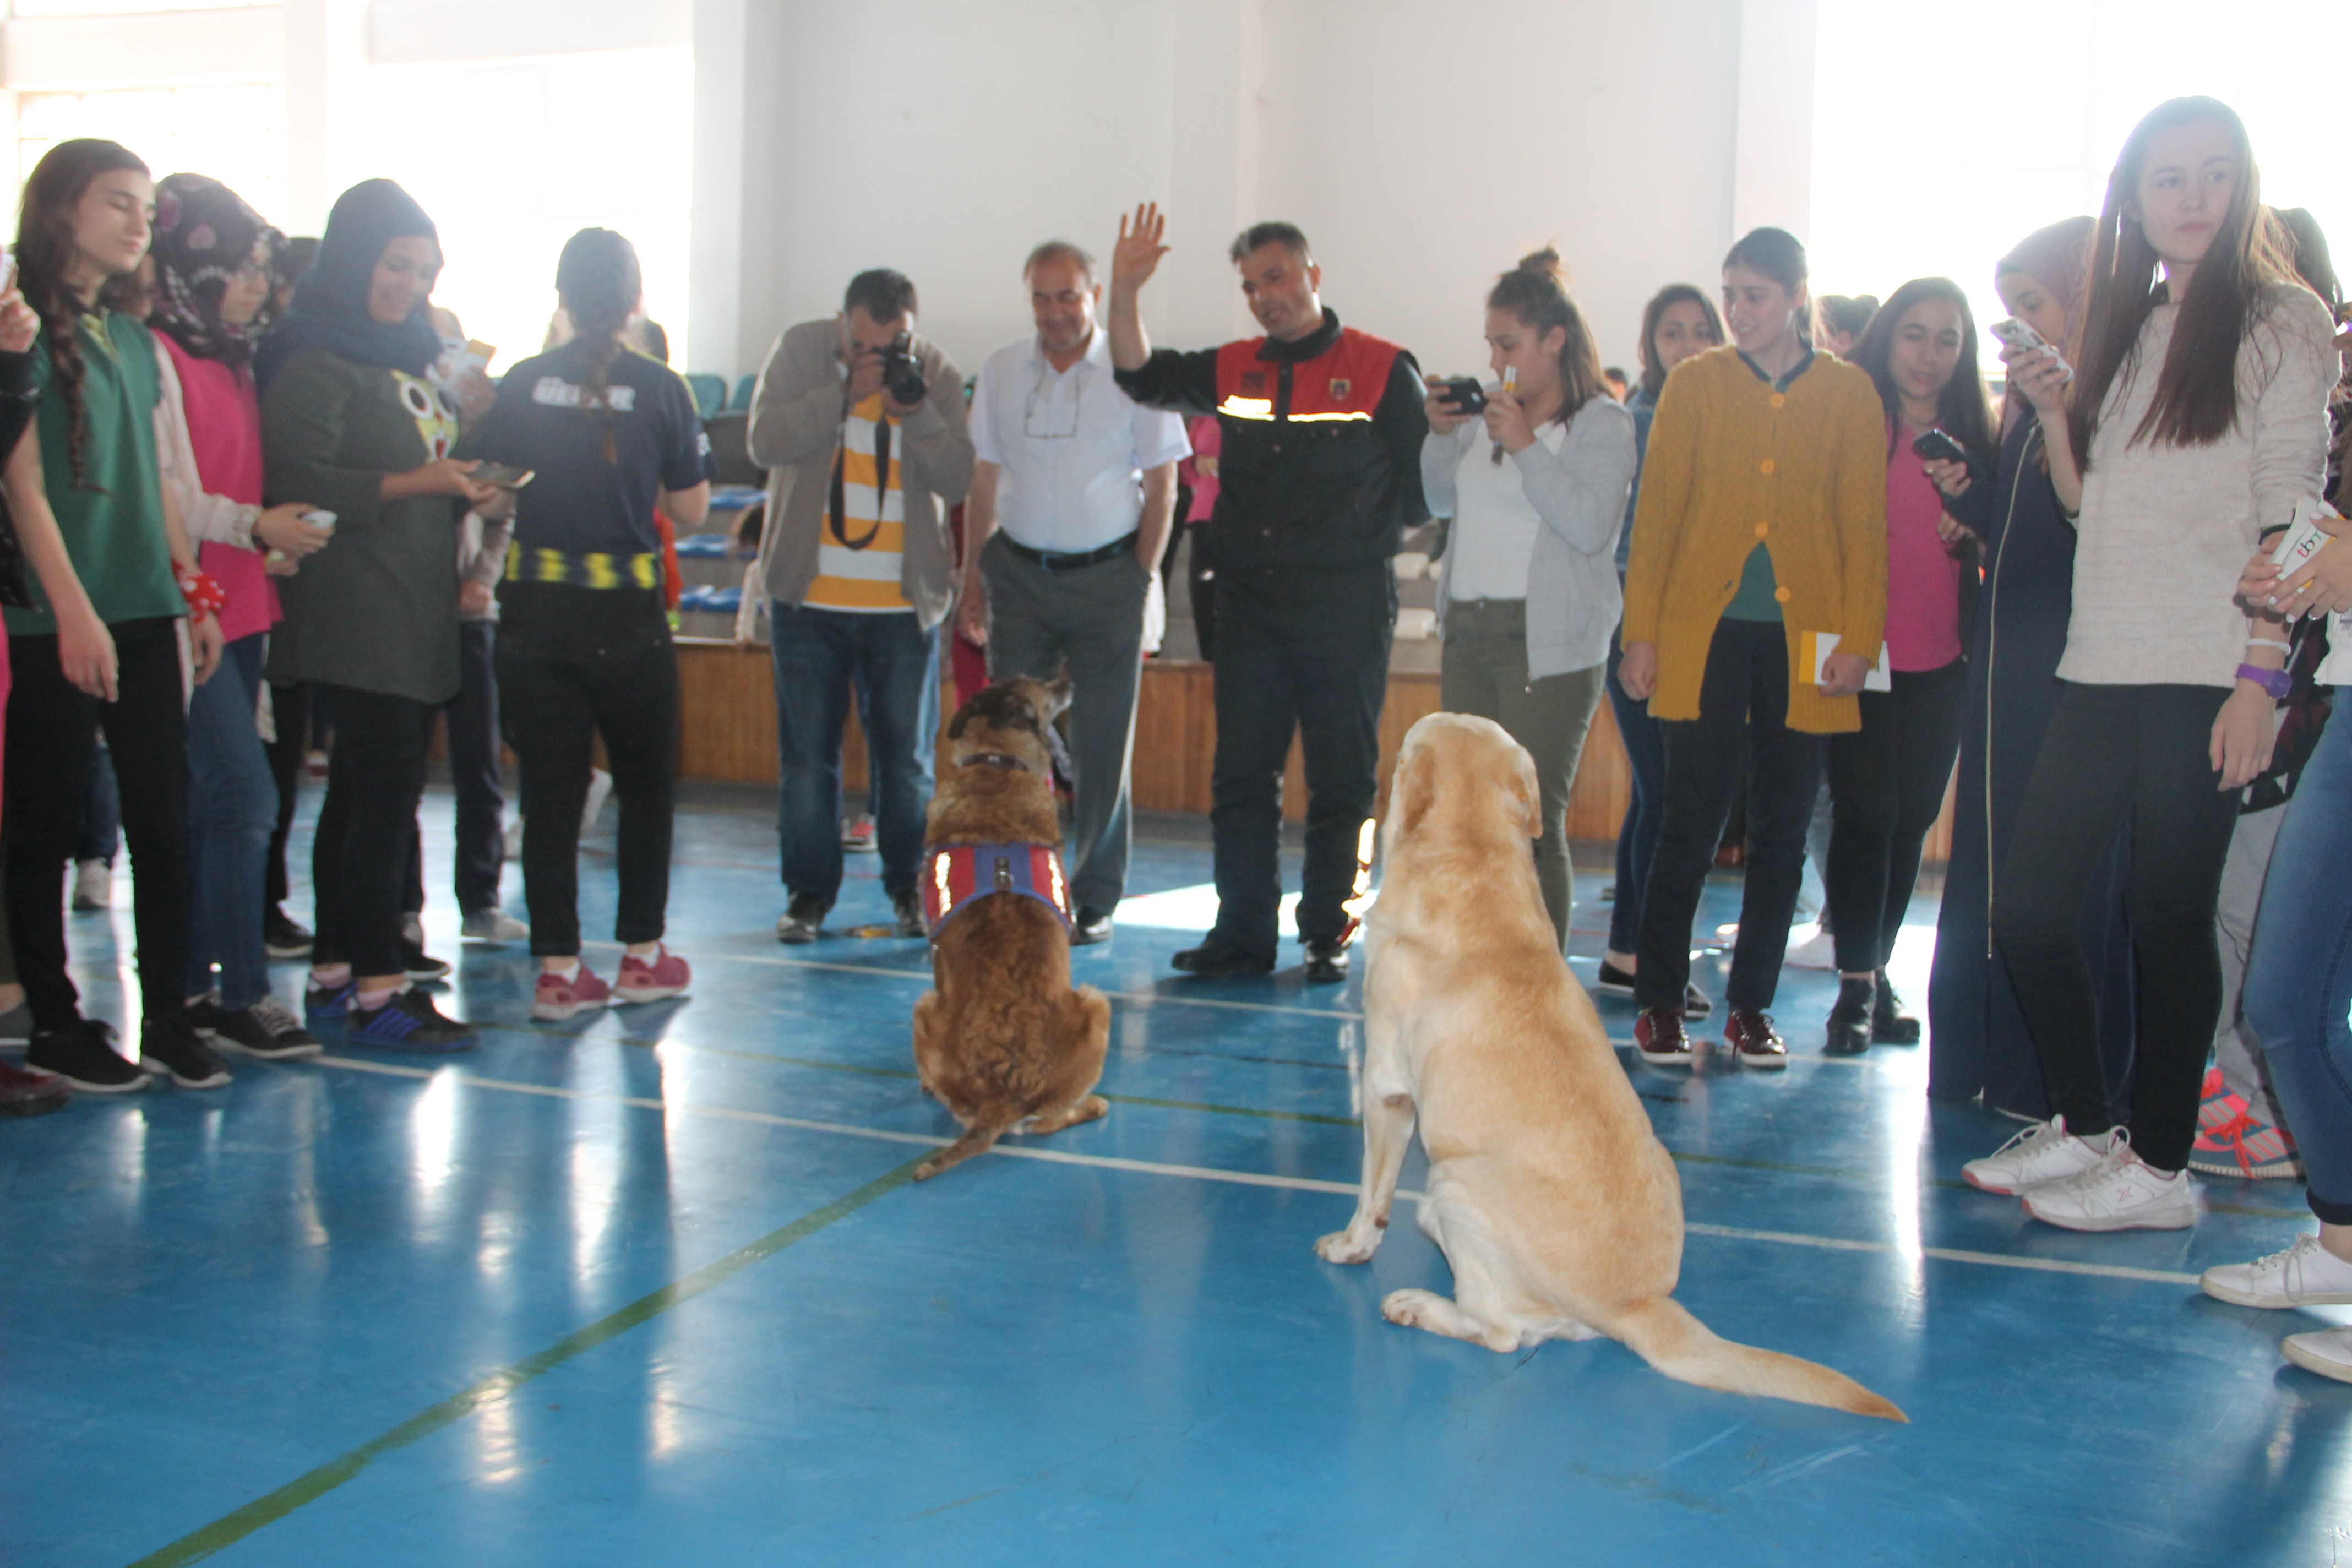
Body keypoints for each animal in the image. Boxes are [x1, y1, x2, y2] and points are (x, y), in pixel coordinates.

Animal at [907, 682, 1110, 1185]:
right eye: (1042, 686)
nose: (1068, 683)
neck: (996, 763)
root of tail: (1004, 1094)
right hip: (1096, 1005)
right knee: (1050, 1121)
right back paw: (1093, 1103)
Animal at [1317, 719, 1900, 1429]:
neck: (1477, 863)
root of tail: (1637, 1305)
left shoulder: (1387, 1088)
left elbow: (1370, 1195)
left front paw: (1351, 1246)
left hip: (1451, 1190)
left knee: (1499, 1330)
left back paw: (1419, 1305)